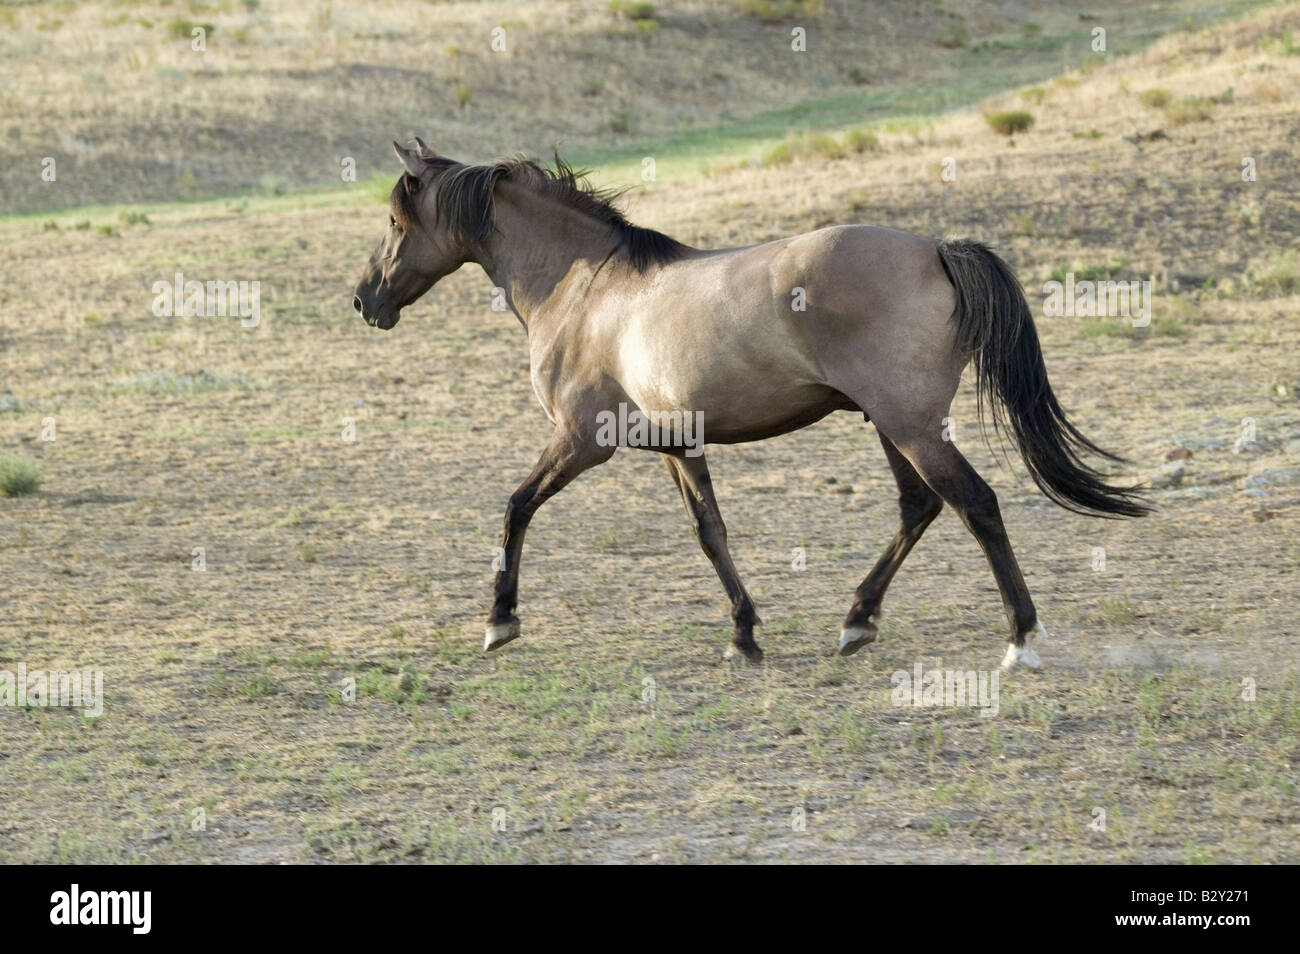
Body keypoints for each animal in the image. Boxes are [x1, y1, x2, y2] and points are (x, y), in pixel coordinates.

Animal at [352, 139, 1149, 671]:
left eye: (394, 222)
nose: (366, 300)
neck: (583, 288)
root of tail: (934, 250)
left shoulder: (581, 441)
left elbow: (516, 507)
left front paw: (500, 621)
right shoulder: (677, 447)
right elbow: (711, 534)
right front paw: (744, 633)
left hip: (910, 426)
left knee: (974, 503)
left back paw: (1020, 638)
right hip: (894, 425)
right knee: (920, 506)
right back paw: (857, 622)